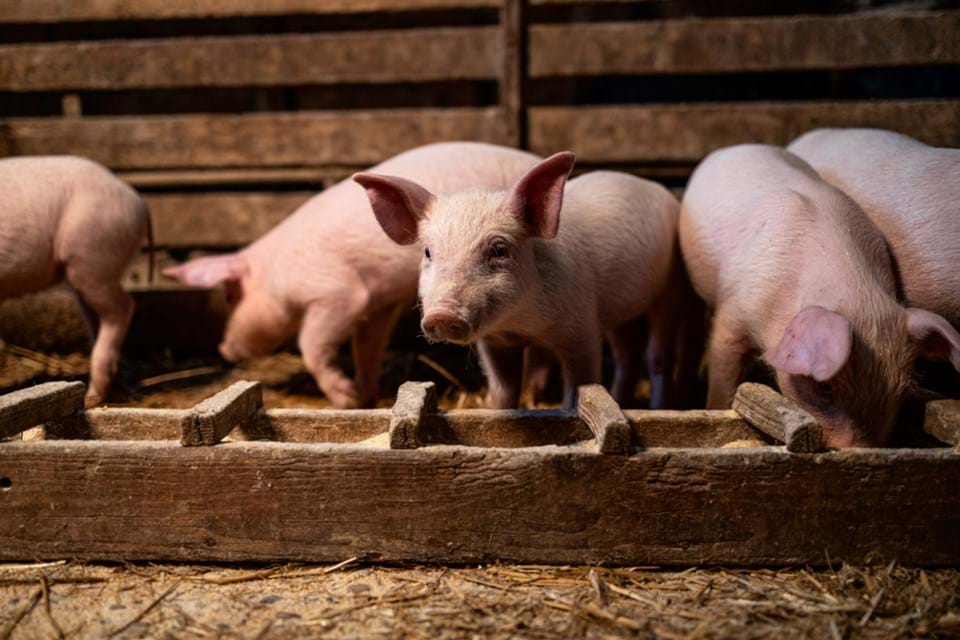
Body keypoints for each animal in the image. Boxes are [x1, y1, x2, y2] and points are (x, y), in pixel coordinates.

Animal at [164, 142, 541, 409]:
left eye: (231, 295)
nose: (223, 347)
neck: (277, 276)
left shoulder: (339, 294)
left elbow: (311, 343)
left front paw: (346, 399)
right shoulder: (379, 303)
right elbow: (367, 345)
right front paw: (367, 396)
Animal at [354, 152, 690, 409]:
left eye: (499, 249)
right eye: (427, 252)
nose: (441, 314)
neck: (522, 324)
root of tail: (654, 186)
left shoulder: (582, 326)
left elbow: (580, 385)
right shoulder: (495, 343)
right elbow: (504, 390)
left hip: (672, 284)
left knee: (657, 355)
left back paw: (658, 408)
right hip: (620, 309)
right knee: (628, 352)